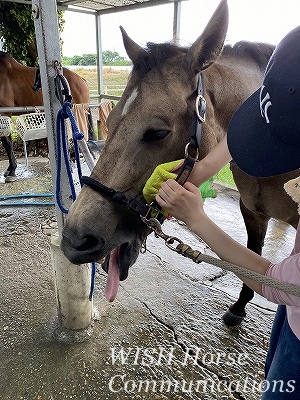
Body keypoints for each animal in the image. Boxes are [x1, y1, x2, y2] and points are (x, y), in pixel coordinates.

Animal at [59, 0, 298, 324]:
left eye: (157, 132)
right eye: (110, 119)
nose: (75, 241)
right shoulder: (252, 212)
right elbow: (253, 255)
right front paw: (239, 306)